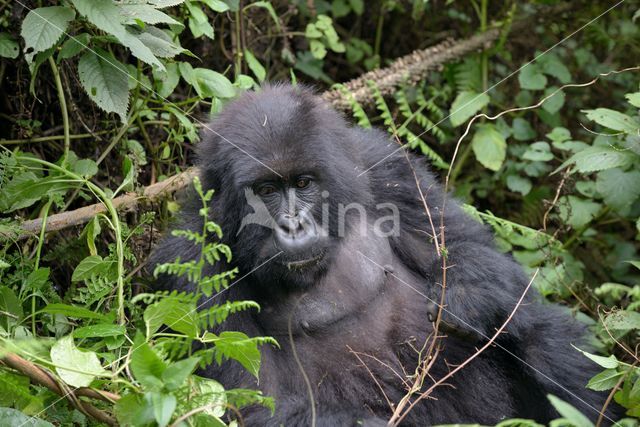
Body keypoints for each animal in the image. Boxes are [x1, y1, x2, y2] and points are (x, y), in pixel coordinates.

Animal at [151, 84, 616, 427]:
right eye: (265, 190)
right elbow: (258, 403)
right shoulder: (190, 263)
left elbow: (467, 248)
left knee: (536, 330)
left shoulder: (383, 166)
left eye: (303, 183)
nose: (293, 226)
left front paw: (468, 298)